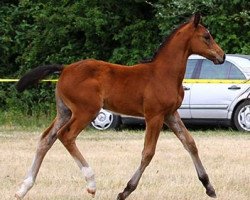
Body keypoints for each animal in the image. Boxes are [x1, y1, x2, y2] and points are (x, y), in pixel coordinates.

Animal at [14, 13, 226, 199]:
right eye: (206, 36)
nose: (222, 56)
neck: (163, 74)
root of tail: (65, 69)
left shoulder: (171, 114)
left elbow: (190, 143)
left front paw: (209, 187)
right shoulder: (154, 116)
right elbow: (148, 153)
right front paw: (125, 191)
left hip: (65, 111)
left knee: (46, 139)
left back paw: (23, 188)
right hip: (86, 111)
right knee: (66, 136)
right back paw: (91, 183)